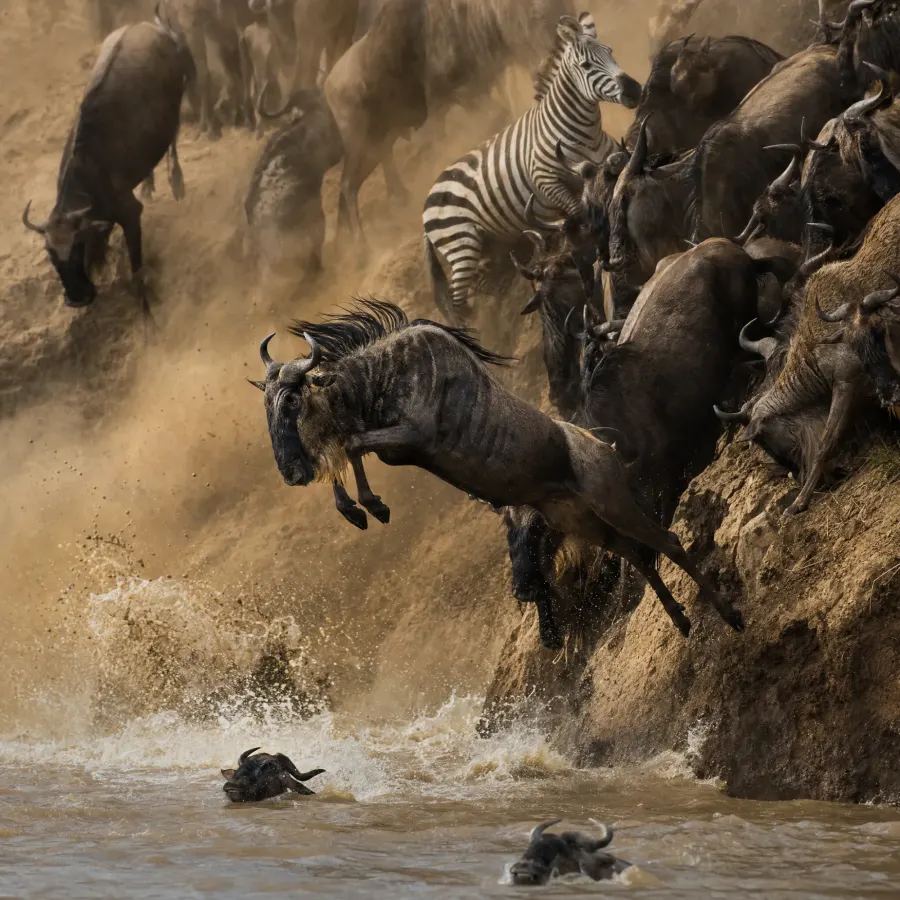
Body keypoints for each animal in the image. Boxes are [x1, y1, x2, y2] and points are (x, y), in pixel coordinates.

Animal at [422, 12, 641, 325]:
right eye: (587, 66)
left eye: (610, 52)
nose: (634, 90)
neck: (583, 132)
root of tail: (427, 200)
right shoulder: (548, 182)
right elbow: (580, 215)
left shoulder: (607, 161)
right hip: (461, 244)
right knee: (458, 300)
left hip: (484, 241)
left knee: (482, 283)